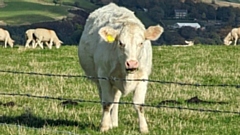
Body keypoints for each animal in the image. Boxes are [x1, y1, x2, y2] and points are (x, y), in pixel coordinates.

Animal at [78, 2, 164, 133]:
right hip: (99, 80)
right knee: (105, 99)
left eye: (141, 43)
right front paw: (104, 126)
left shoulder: (143, 77)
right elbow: (107, 103)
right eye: (121, 43)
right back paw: (109, 122)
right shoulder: (104, 77)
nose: (132, 63)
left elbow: (139, 104)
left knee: (116, 99)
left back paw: (114, 122)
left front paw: (143, 128)